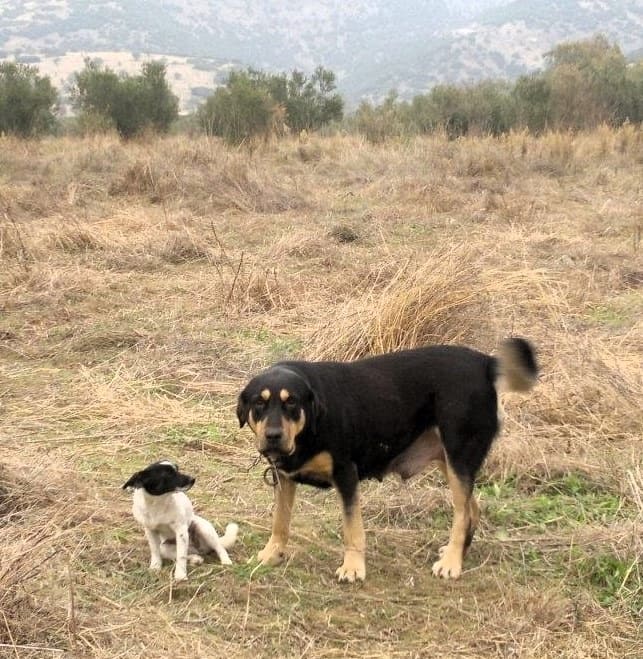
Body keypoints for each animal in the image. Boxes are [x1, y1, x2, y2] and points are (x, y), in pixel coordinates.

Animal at [238, 340, 540, 584]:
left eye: (291, 403)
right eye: (259, 404)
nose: (273, 436)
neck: (311, 424)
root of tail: (486, 364)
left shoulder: (346, 475)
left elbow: (352, 529)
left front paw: (353, 567)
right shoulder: (284, 478)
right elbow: (280, 522)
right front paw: (271, 553)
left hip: (459, 456)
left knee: (462, 512)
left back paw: (451, 563)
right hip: (450, 460)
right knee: (471, 508)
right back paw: (458, 553)